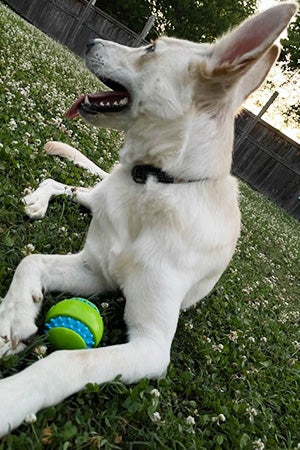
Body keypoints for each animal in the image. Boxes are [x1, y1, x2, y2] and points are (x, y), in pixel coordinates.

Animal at [0, 0, 296, 436]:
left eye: (151, 49)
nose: (90, 40)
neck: (156, 183)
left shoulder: (150, 344)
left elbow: (68, 360)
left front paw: (11, 398)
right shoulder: (96, 270)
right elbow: (30, 259)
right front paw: (15, 316)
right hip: (97, 199)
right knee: (60, 183)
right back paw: (37, 201)